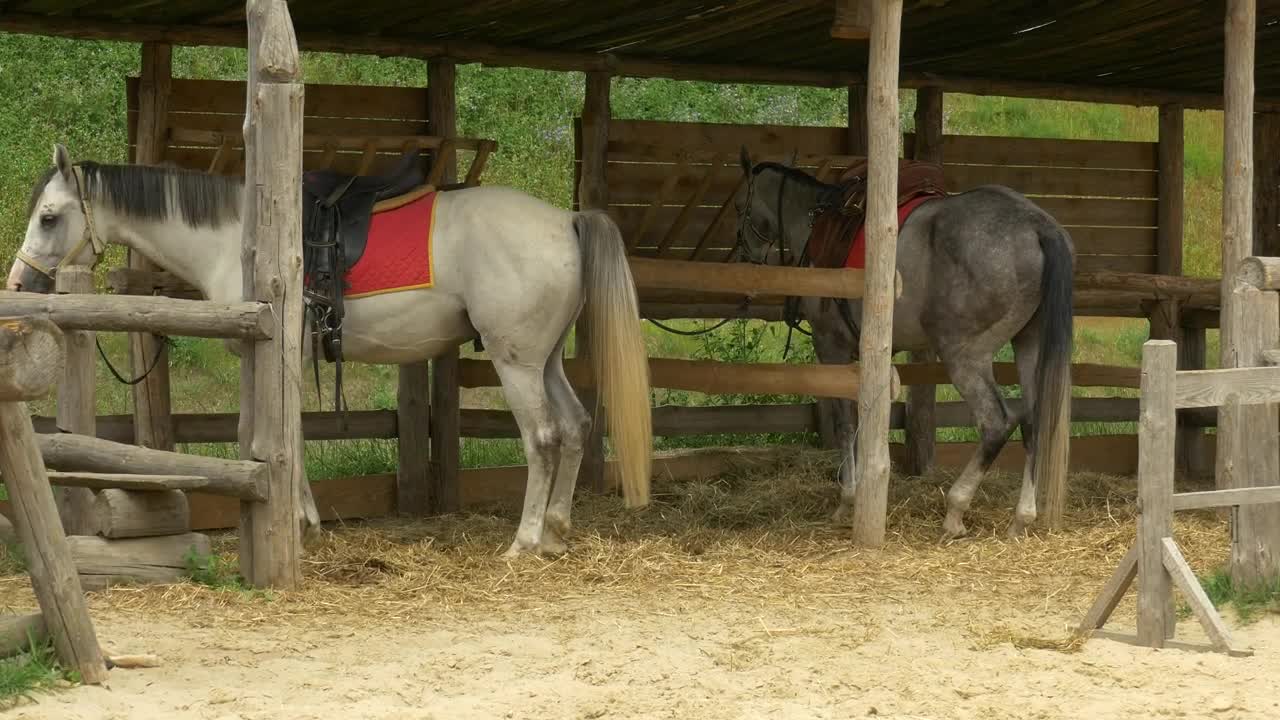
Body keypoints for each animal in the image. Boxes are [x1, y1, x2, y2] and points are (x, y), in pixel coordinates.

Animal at [7, 143, 653, 557]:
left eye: (49, 217)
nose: (20, 283)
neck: (237, 238)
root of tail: (567, 220)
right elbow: (288, 435)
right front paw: (305, 521)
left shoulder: (271, 355)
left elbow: (269, 435)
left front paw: (298, 523)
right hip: (545, 361)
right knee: (574, 427)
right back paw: (557, 531)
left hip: (515, 363)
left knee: (542, 438)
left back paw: (524, 541)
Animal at [733, 148, 1074, 538]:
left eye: (739, 208)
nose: (743, 258)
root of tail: (1037, 227)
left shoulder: (831, 348)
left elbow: (845, 424)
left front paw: (848, 500)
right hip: (1029, 345)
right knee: (1034, 422)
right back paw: (1022, 518)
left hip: (965, 356)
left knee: (997, 423)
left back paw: (955, 510)